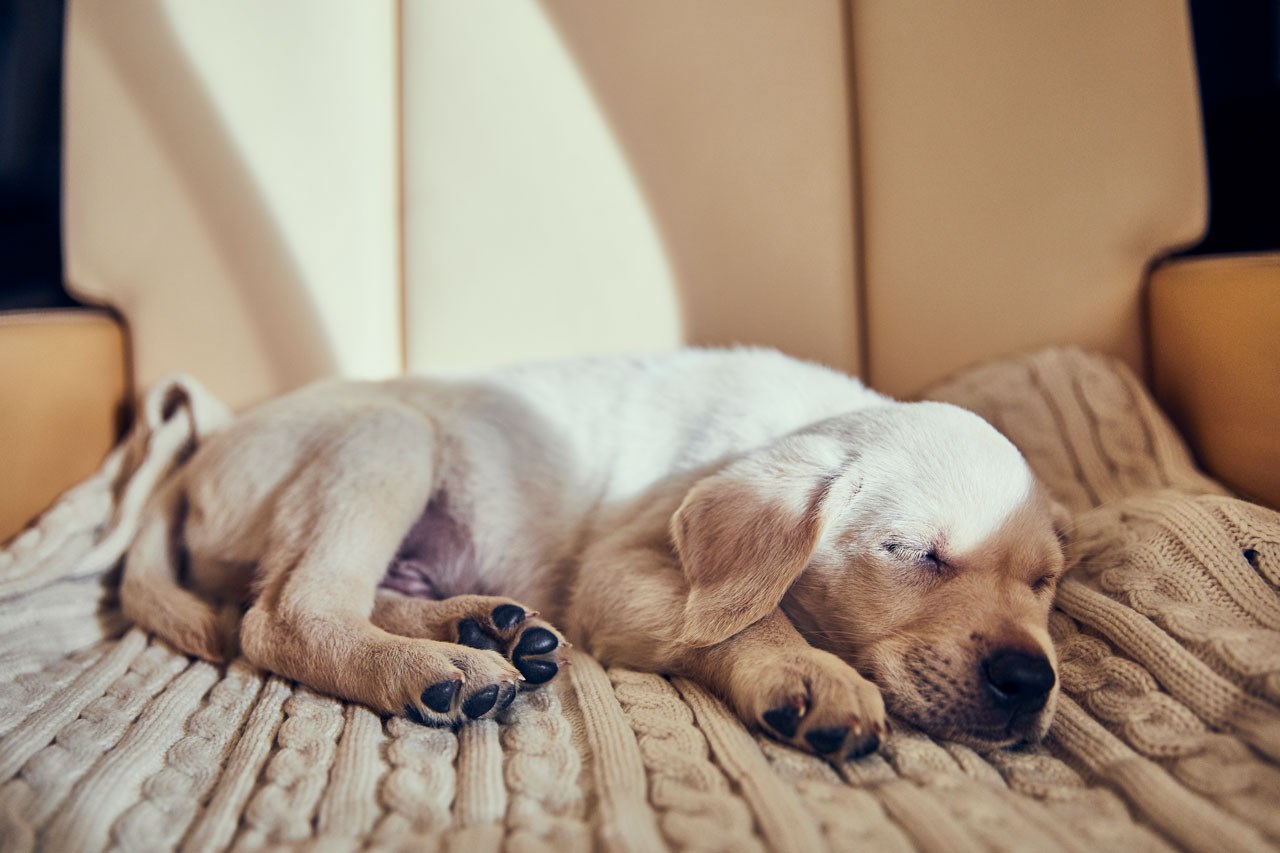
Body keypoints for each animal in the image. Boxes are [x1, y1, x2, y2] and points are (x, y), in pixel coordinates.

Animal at [127, 345, 1070, 758]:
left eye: (1046, 582)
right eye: (911, 553)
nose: (1029, 680)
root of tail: (194, 462)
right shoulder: (614, 573)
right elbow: (740, 617)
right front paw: (807, 670)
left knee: (340, 590)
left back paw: (488, 628)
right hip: (390, 435)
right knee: (285, 611)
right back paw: (437, 668)